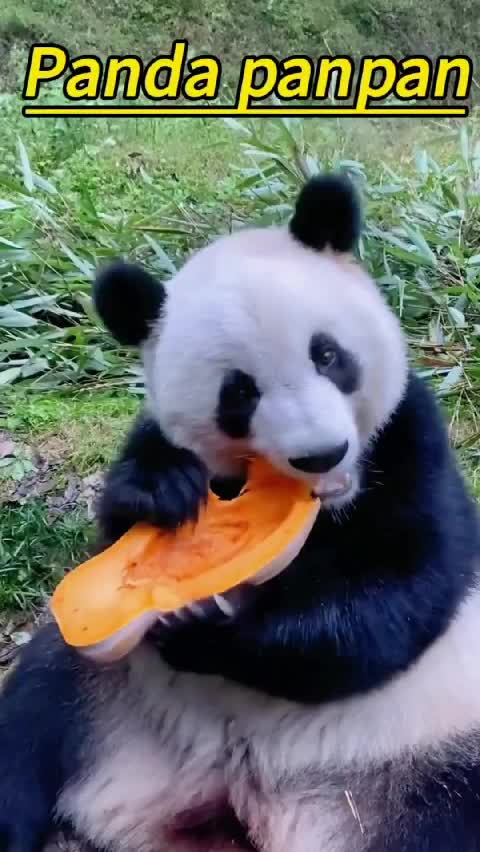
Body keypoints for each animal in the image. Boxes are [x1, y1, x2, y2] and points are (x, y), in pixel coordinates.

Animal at [1, 173, 480, 852]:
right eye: (238, 394)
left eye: (328, 355)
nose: (321, 454)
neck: (330, 507)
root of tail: (240, 804)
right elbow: (120, 527)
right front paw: (162, 493)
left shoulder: (408, 440)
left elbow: (398, 595)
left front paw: (204, 635)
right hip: (108, 699)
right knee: (32, 722)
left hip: (429, 751)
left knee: (441, 818)